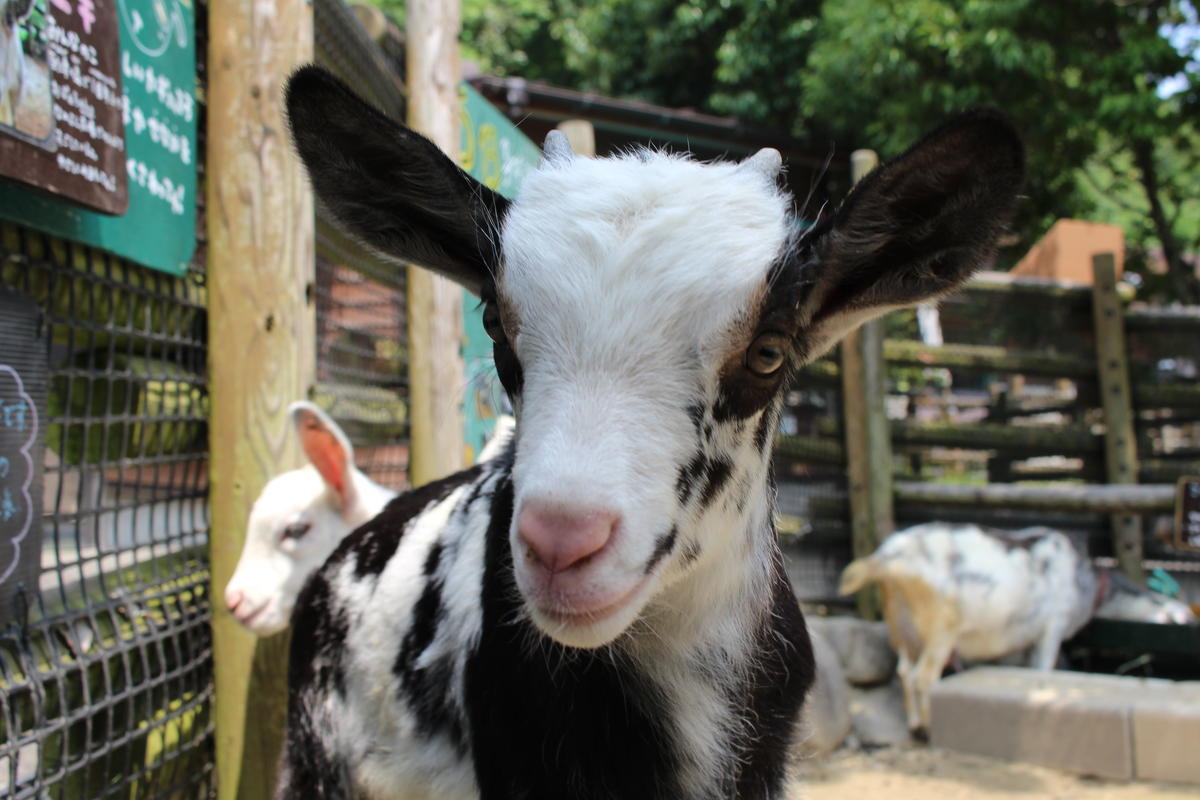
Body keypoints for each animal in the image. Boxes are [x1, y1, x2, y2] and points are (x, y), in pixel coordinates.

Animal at [840, 522, 1195, 734]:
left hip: (901, 625)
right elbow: (1044, 669)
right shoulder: (1052, 628)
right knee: (922, 677)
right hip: (941, 628)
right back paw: (927, 727)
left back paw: (914, 725)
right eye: (1178, 620)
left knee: (902, 671)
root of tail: (887, 558)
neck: (1087, 583)